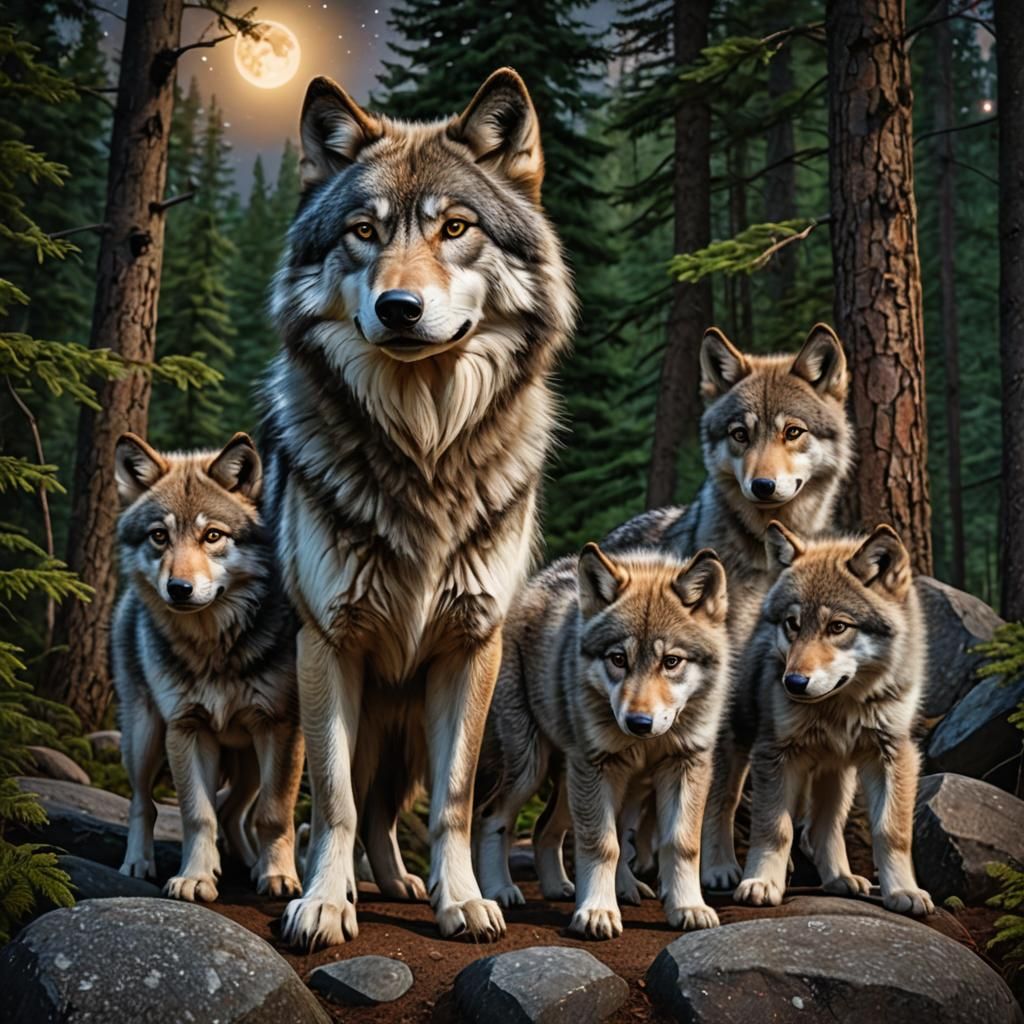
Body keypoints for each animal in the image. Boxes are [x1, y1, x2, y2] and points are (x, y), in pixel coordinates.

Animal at [112, 433, 303, 903]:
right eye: (159, 536)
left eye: (212, 535)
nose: (179, 588)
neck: (215, 648)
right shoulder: (187, 728)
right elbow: (197, 814)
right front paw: (196, 877)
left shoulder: (280, 728)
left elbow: (273, 814)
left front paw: (277, 876)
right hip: (145, 735)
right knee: (143, 802)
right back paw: (137, 863)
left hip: (249, 760)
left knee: (235, 811)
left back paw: (252, 864)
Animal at [261, 68, 575, 947]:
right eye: (364, 232)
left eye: (455, 228)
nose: (398, 307)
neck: (424, 447)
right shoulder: (328, 645)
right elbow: (330, 799)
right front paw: (323, 904)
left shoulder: (471, 648)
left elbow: (456, 802)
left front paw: (461, 900)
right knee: (333, 804)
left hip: (407, 736)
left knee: (387, 811)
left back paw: (400, 881)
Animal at [475, 543, 730, 939]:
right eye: (618, 659)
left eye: (671, 661)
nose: (639, 722)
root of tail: (534, 584)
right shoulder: (597, 767)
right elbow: (601, 846)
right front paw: (596, 912)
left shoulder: (688, 763)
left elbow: (681, 843)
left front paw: (688, 906)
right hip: (533, 770)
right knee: (493, 816)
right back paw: (501, 890)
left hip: (610, 786)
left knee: (547, 829)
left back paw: (573, 888)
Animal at [603, 324, 852, 887]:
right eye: (740, 434)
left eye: (793, 432)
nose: (763, 485)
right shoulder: (729, 695)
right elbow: (721, 792)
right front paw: (717, 868)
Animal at [732, 522, 933, 916]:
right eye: (793, 624)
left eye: (838, 627)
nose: (793, 682)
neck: (842, 705)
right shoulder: (774, 753)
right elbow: (775, 828)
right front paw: (762, 882)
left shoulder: (894, 753)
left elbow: (892, 832)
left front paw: (904, 891)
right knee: (717, 812)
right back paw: (718, 871)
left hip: (838, 773)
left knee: (820, 830)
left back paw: (841, 879)